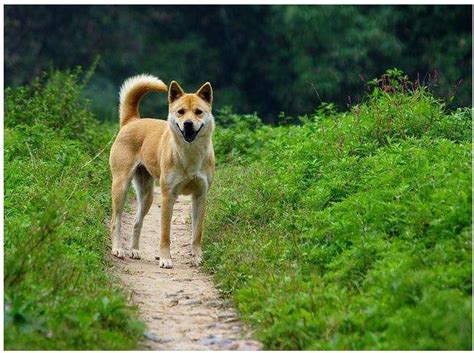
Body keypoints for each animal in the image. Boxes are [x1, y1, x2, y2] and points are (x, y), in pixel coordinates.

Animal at [109, 74, 215, 266]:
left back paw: (134, 250)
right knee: (116, 220)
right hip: (121, 186)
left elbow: (197, 233)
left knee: (137, 222)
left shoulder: (200, 196)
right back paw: (117, 249)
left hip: (147, 196)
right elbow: (165, 234)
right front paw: (165, 259)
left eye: (198, 112)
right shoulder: (168, 196)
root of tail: (132, 120)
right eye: (180, 112)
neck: (190, 154)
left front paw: (197, 257)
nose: (188, 124)